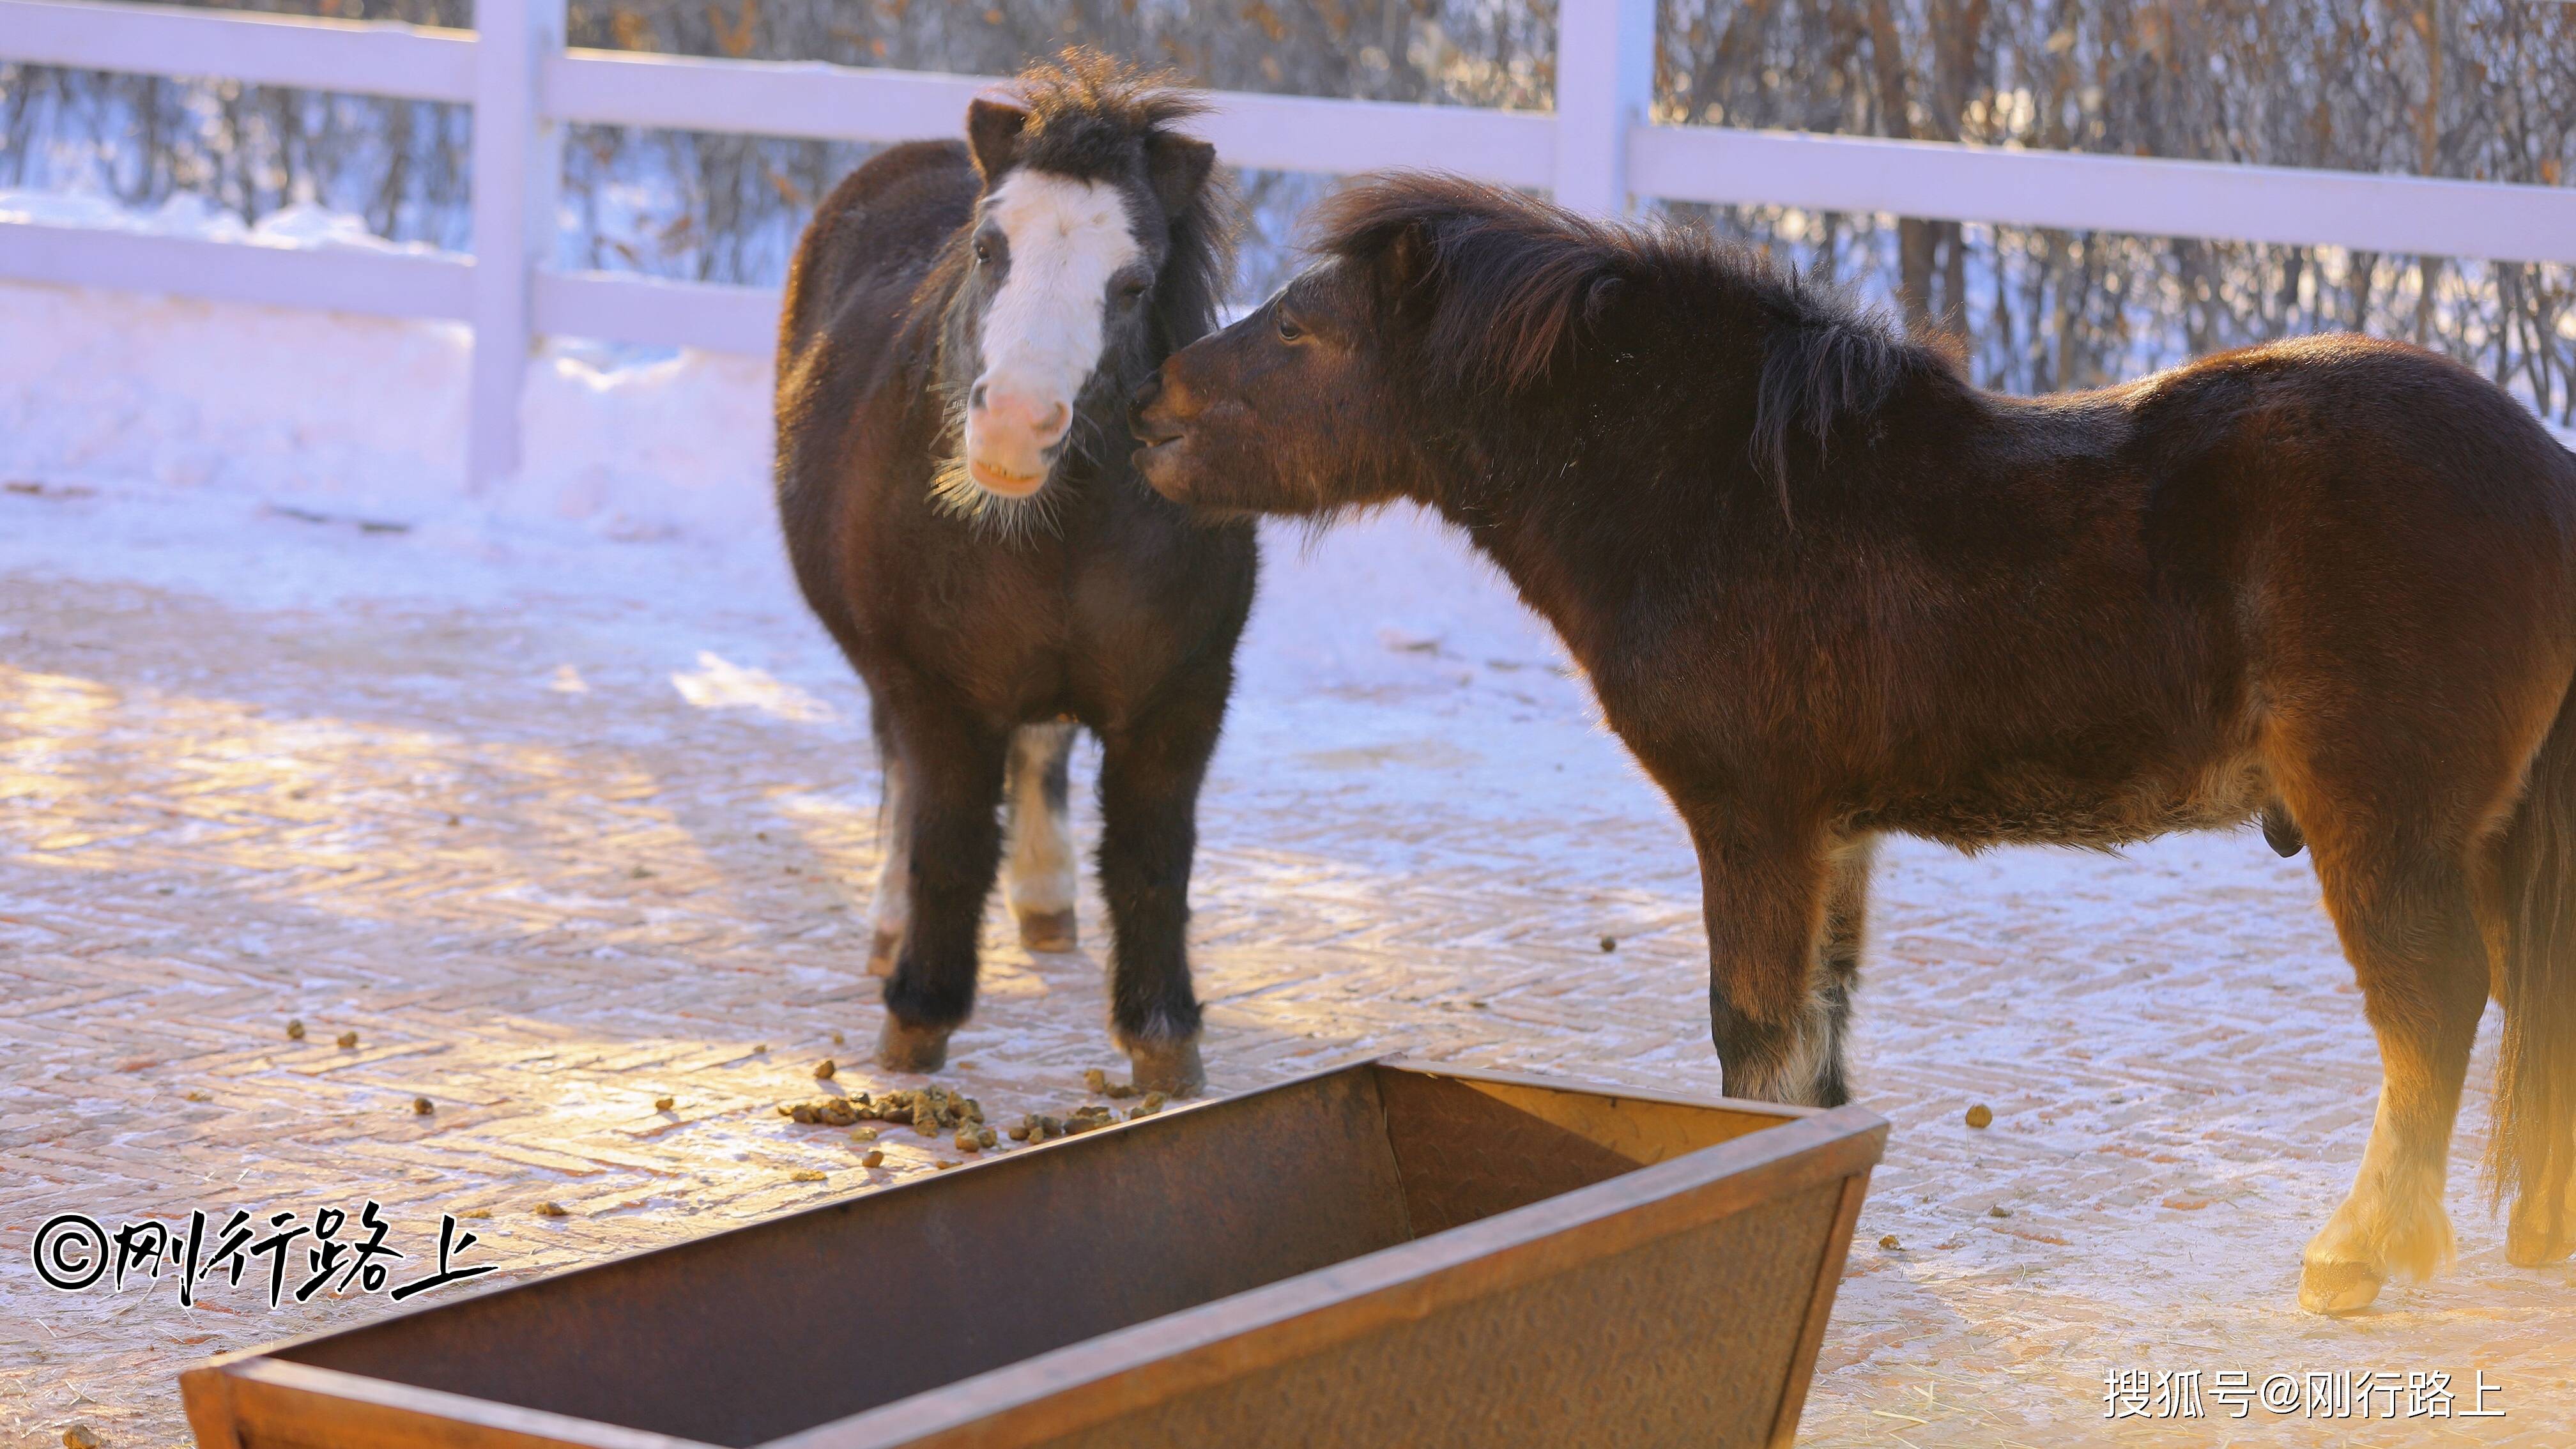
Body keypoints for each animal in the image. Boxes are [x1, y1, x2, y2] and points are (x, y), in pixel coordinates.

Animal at [767, 53, 1252, 1093]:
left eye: (1133, 282)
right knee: (904, 777)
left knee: (1041, 754)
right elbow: (947, 842)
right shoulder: (936, 691)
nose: (1013, 430)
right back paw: (892, 924)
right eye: (990, 249)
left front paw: (1164, 1039)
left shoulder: (1181, 697)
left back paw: (1045, 898)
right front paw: (917, 1019)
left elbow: (1153, 859)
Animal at [1138, 171, 2576, 1310]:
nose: (1147, 410)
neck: (1726, 490)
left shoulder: (1753, 823)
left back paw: (2362, 1252)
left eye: (1304, 328)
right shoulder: (1835, 837)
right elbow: (1822, 1037)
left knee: (2432, 1010)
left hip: (2382, 828)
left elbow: (1752, 1035)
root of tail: (2544, 470)